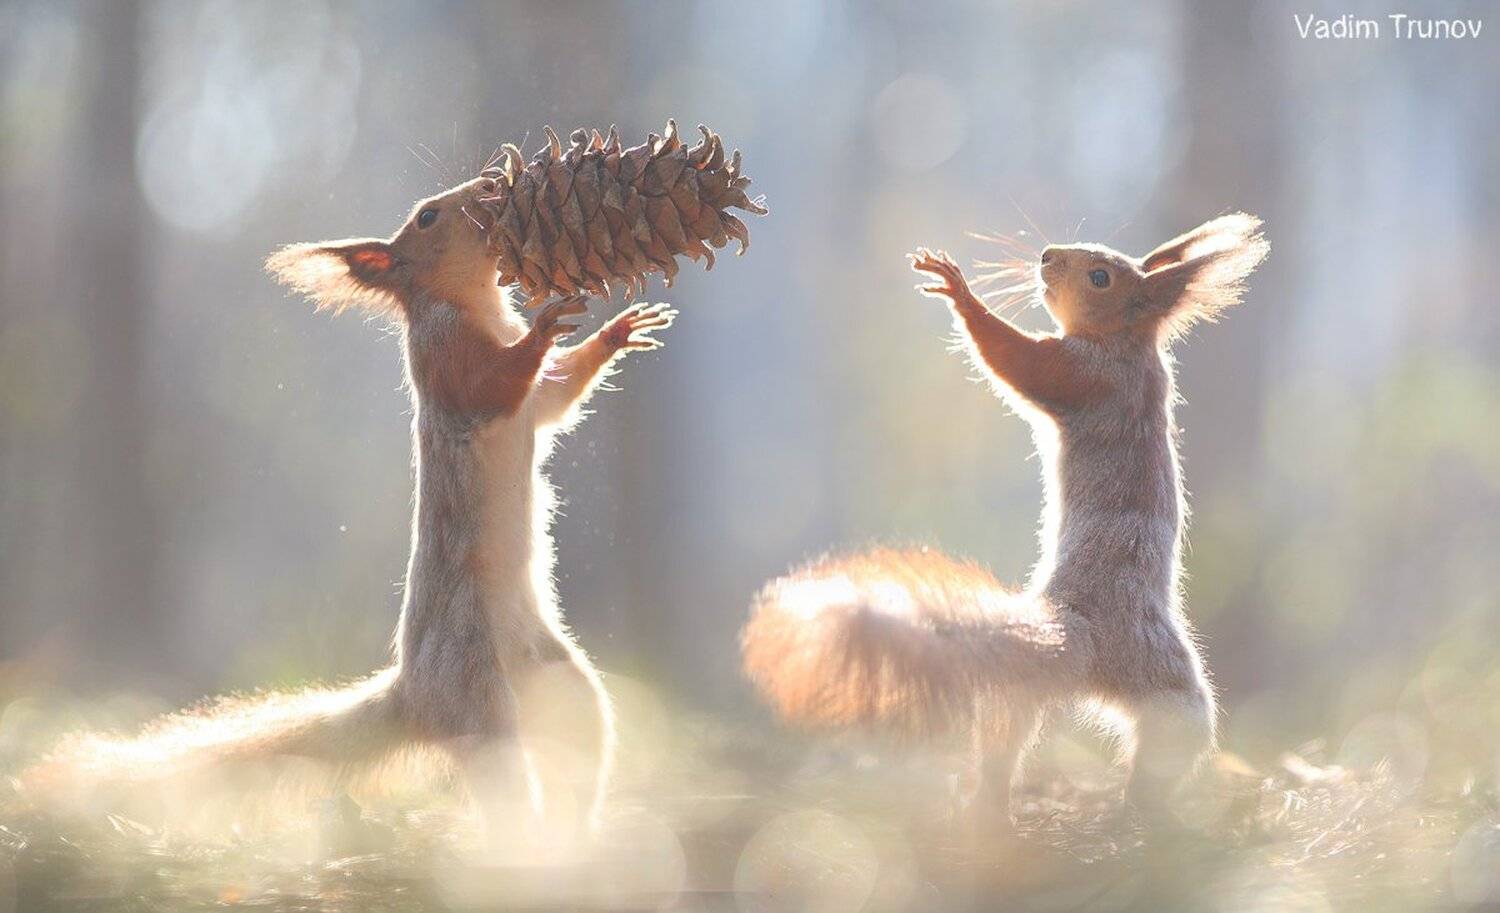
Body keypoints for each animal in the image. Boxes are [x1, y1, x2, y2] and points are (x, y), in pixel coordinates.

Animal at [21, 175, 675, 841]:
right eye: (427, 216)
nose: (492, 184)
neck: (476, 306)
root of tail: (414, 694)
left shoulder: (535, 404)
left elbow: (557, 397)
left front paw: (618, 330)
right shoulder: (445, 361)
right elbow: (491, 383)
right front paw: (544, 327)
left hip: (563, 685)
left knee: (580, 750)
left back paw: (581, 839)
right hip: (478, 697)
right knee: (505, 787)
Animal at [741, 214, 1268, 832]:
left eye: (1100, 276)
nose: (1046, 257)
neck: (1125, 343)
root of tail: (1081, 633)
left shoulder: (1083, 375)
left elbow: (1021, 362)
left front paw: (960, 293)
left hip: (1166, 683)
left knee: (1172, 739)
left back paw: (1145, 807)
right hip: (1022, 691)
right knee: (1006, 738)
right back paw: (988, 806)